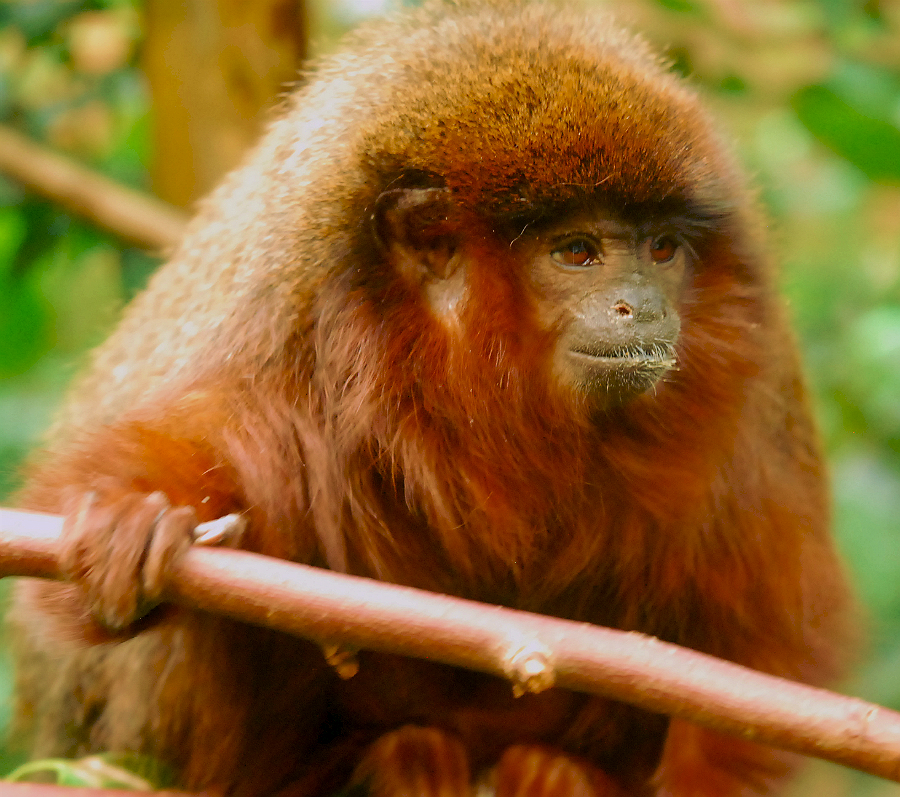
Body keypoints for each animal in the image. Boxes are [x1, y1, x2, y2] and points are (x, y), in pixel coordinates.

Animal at [8, 1, 853, 794]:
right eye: (577, 252)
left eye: (662, 249)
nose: (642, 308)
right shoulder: (283, 335)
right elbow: (186, 453)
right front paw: (131, 519)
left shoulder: (760, 389)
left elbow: (764, 643)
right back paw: (395, 763)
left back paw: (551, 775)